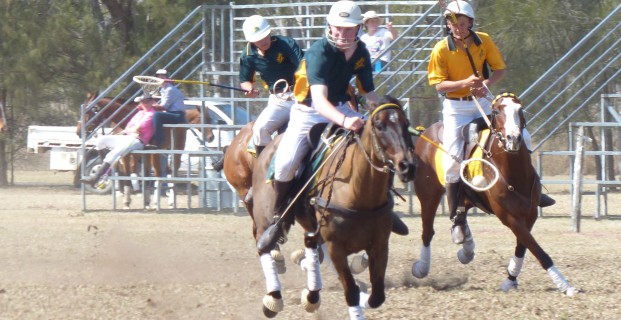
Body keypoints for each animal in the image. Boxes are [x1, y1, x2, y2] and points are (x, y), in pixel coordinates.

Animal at [248, 96, 416, 318]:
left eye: (406, 124)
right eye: (380, 126)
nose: (408, 166)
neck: (358, 191)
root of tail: (267, 148)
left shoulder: (380, 244)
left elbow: (377, 295)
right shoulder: (336, 246)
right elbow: (351, 291)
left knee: (310, 242)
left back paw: (311, 292)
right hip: (265, 215)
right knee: (263, 243)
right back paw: (274, 297)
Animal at [410, 92, 580, 296]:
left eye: (520, 109)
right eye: (497, 111)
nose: (513, 138)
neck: (513, 173)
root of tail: (424, 132)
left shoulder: (530, 214)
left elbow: (522, 247)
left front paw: (510, 280)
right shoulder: (508, 217)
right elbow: (537, 249)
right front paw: (565, 285)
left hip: (465, 198)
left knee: (460, 215)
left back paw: (466, 246)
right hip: (428, 194)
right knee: (428, 231)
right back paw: (421, 267)